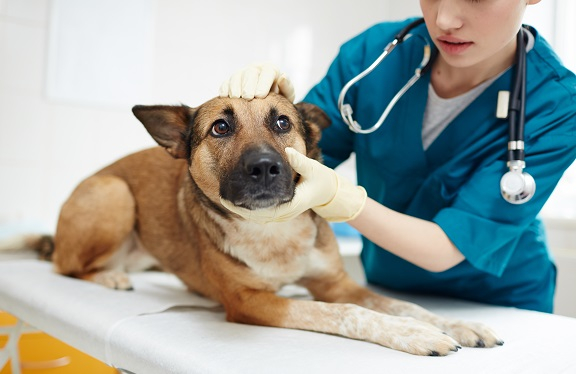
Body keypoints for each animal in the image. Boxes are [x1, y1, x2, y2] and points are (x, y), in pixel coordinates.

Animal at [37, 92, 500, 356]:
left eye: (282, 122)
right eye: (221, 127)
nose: (263, 167)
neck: (273, 229)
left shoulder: (336, 283)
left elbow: (401, 304)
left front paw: (456, 324)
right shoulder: (251, 302)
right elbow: (347, 313)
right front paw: (414, 334)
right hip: (113, 193)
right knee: (65, 265)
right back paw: (109, 277)